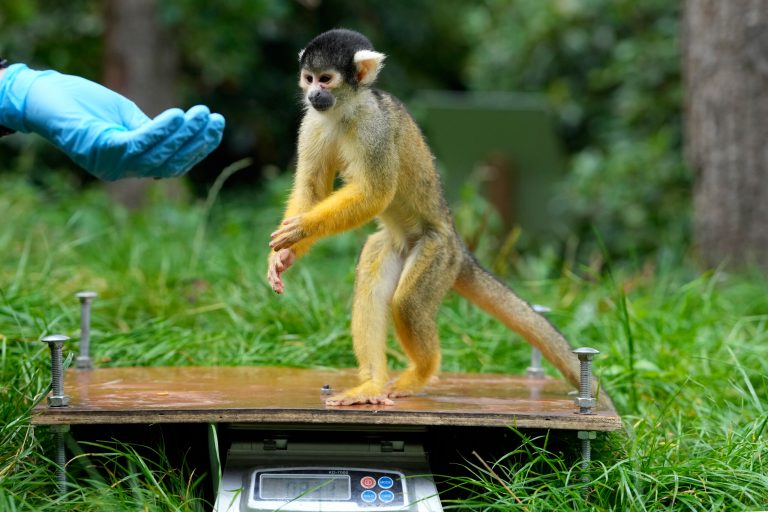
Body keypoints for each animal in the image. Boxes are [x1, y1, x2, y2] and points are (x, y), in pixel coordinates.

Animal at [268, 28, 590, 406]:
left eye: (326, 79)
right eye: (308, 78)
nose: (313, 94)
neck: (345, 110)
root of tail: (458, 244)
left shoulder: (375, 128)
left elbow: (376, 193)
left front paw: (303, 227)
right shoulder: (313, 123)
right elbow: (312, 190)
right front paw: (283, 257)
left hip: (437, 253)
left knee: (407, 302)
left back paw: (422, 371)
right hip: (397, 247)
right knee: (373, 284)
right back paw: (372, 384)